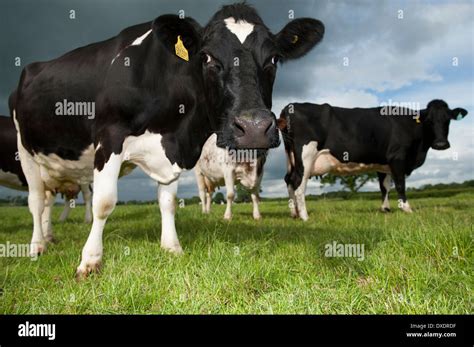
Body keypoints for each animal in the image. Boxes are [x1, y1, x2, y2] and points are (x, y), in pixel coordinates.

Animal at [11, 2, 324, 278]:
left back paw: (49, 236)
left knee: (47, 200)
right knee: (36, 200)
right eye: (207, 57)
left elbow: (168, 202)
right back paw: (37, 246)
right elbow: (104, 202)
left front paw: (172, 247)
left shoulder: (172, 151)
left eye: (274, 59)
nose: (254, 127)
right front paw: (90, 261)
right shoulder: (109, 137)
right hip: (24, 151)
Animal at [280, 100, 468, 220]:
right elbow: (400, 185)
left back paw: (294, 213)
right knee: (298, 183)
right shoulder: (398, 158)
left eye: (448, 119)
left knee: (289, 180)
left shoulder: (383, 164)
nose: (441, 144)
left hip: (291, 158)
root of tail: (290, 107)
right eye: (429, 121)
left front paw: (386, 209)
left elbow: (384, 187)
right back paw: (304, 216)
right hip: (306, 156)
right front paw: (407, 208)